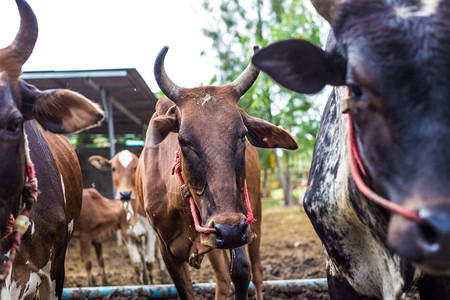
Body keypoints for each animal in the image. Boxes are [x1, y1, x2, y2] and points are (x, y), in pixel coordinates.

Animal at [88, 151, 165, 284]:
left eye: (135, 168)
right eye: (113, 168)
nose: (125, 194)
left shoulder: (150, 233)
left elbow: (150, 262)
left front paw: (151, 284)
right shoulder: (127, 234)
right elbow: (137, 263)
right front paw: (143, 284)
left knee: (158, 256)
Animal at [136, 45, 298, 298]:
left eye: (242, 134)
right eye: (183, 140)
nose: (228, 229)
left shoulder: (240, 226)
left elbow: (241, 272)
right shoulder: (168, 251)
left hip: (255, 214)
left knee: (256, 270)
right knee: (221, 278)